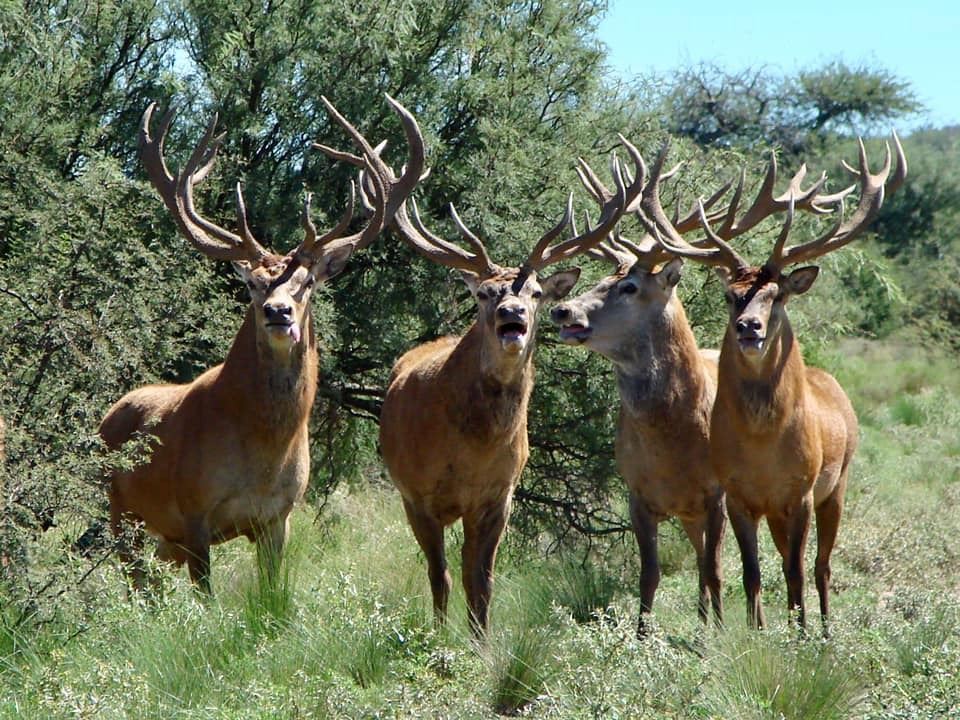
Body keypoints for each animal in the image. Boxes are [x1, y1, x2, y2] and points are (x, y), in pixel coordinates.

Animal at [99, 95, 424, 592]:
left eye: (307, 282)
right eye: (252, 283)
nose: (278, 311)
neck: (263, 452)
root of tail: (108, 416)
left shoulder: (278, 517)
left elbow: (272, 595)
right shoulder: (194, 511)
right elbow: (206, 597)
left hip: (159, 541)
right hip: (121, 513)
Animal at [361, 137, 646, 635]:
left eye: (536, 293)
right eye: (483, 293)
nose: (511, 314)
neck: (470, 448)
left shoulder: (500, 495)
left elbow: (482, 579)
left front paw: (482, 642)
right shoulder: (416, 493)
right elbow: (439, 575)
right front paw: (439, 639)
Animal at [549, 142, 734, 636]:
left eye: (629, 286)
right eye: (599, 280)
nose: (561, 310)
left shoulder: (717, 494)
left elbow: (714, 570)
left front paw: (720, 639)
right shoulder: (637, 492)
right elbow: (648, 573)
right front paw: (640, 637)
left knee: (720, 562)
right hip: (687, 514)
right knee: (698, 557)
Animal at [650, 135, 906, 631]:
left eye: (778, 295)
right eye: (730, 295)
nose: (749, 327)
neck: (762, 447)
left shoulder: (801, 491)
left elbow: (795, 571)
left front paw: (800, 635)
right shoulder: (738, 495)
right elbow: (751, 572)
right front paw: (758, 631)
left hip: (838, 484)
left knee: (822, 566)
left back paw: (823, 629)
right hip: (778, 509)